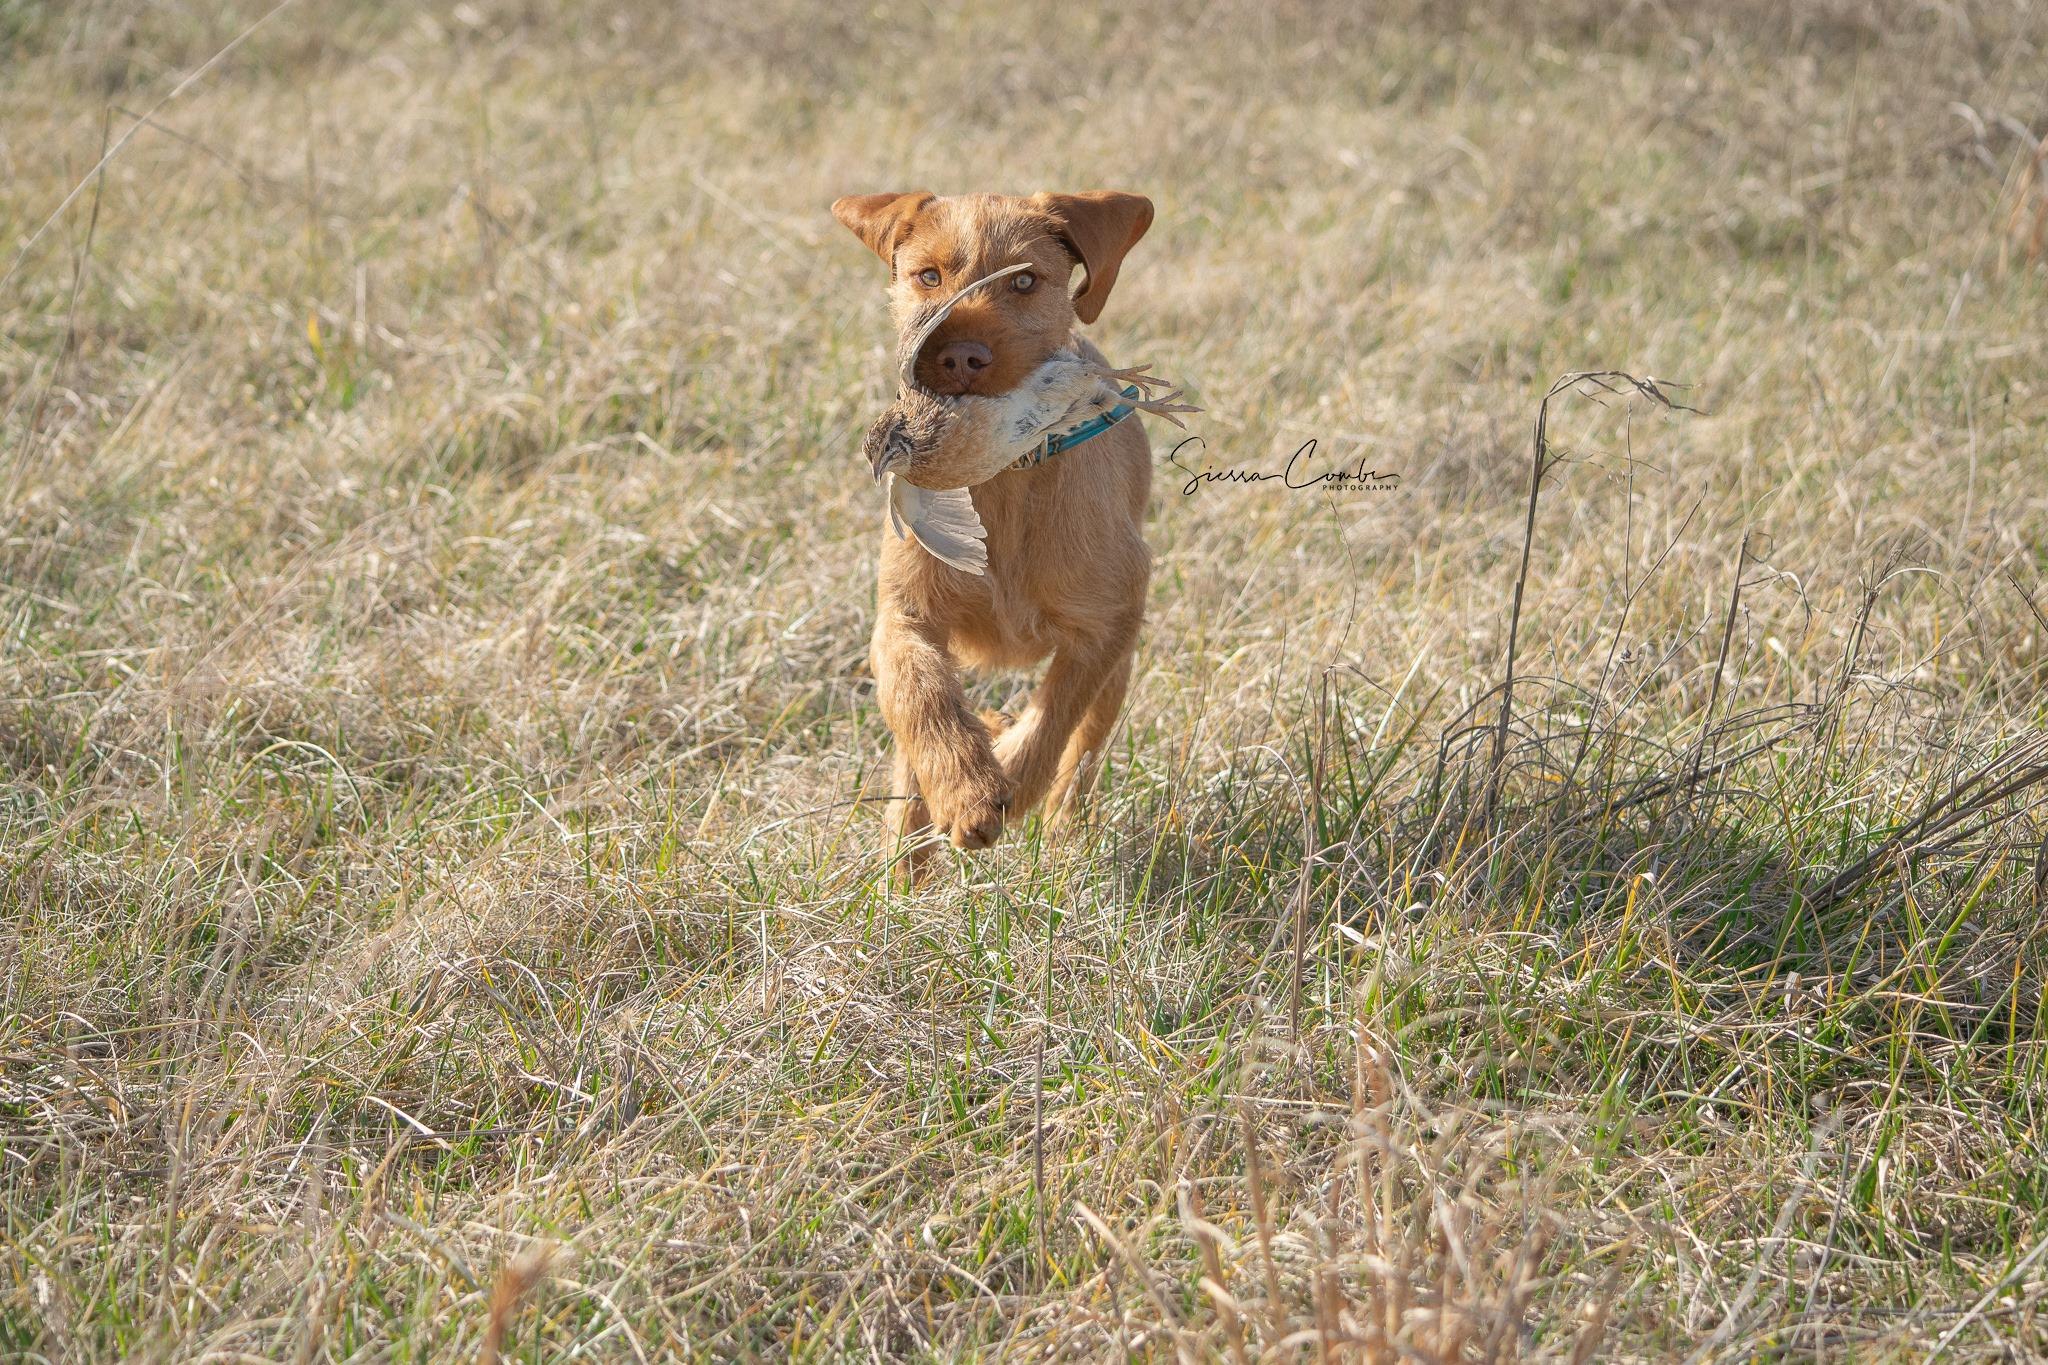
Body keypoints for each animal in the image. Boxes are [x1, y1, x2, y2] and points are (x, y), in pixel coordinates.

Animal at [832, 189, 1157, 875]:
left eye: (1024, 281)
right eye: (928, 276)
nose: (959, 356)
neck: (1005, 478)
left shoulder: (1107, 624)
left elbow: (1054, 717)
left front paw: (1004, 777)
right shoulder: (903, 617)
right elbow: (922, 697)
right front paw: (965, 790)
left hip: (1118, 674)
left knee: (1082, 759)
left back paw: (1061, 833)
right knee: (911, 766)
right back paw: (904, 874)